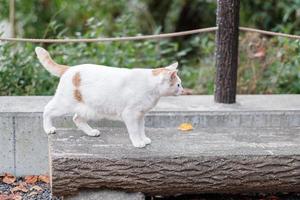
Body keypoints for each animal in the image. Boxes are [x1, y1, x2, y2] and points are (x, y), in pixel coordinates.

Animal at [34, 46, 183, 147]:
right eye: (178, 84)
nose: (183, 90)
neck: (150, 86)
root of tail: (70, 68)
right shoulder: (130, 114)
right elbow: (135, 130)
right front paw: (138, 142)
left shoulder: (140, 115)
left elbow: (141, 129)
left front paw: (144, 139)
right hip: (64, 104)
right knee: (47, 110)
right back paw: (48, 129)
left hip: (89, 109)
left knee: (77, 119)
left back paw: (91, 132)